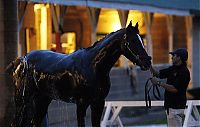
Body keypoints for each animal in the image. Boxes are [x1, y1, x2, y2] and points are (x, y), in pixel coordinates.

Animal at [7, 21, 152, 126]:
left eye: (141, 40)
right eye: (132, 41)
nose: (147, 62)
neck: (93, 66)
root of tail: (21, 60)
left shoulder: (98, 103)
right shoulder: (81, 104)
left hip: (42, 99)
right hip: (22, 101)